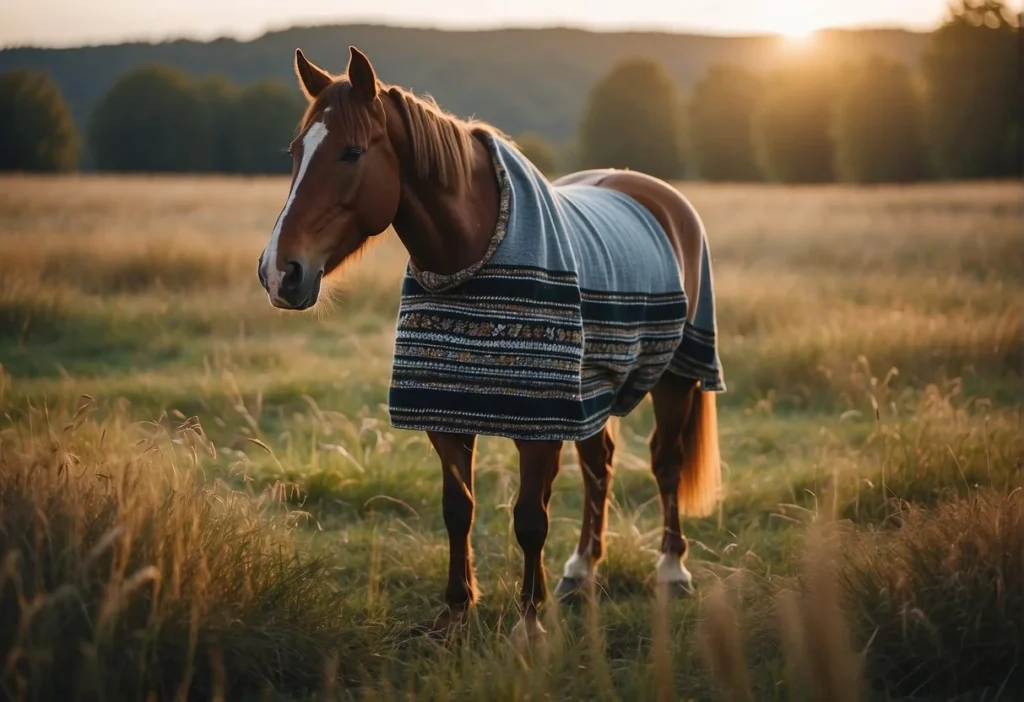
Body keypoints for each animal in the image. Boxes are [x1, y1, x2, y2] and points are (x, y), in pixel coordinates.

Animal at [258, 46, 729, 646]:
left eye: (352, 152)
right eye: (296, 152)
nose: (279, 272)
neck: (476, 246)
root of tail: (656, 194)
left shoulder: (539, 424)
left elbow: (530, 519)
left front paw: (529, 625)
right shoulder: (448, 412)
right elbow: (457, 508)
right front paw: (455, 613)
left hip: (676, 375)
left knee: (665, 464)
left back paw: (672, 570)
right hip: (594, 391)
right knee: (599, 466)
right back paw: (582, 569)